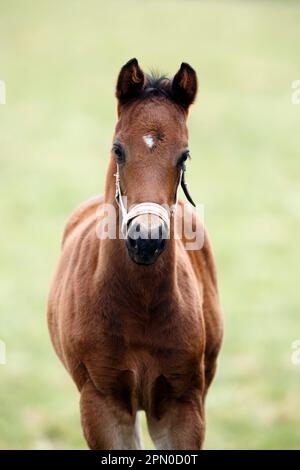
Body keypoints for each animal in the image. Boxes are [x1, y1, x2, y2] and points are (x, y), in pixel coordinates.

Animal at [47, 59, 223, 452]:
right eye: (118, 150)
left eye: (184, 155)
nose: (145, 240)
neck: (139, 304)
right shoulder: (101, 401)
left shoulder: (183, 404)